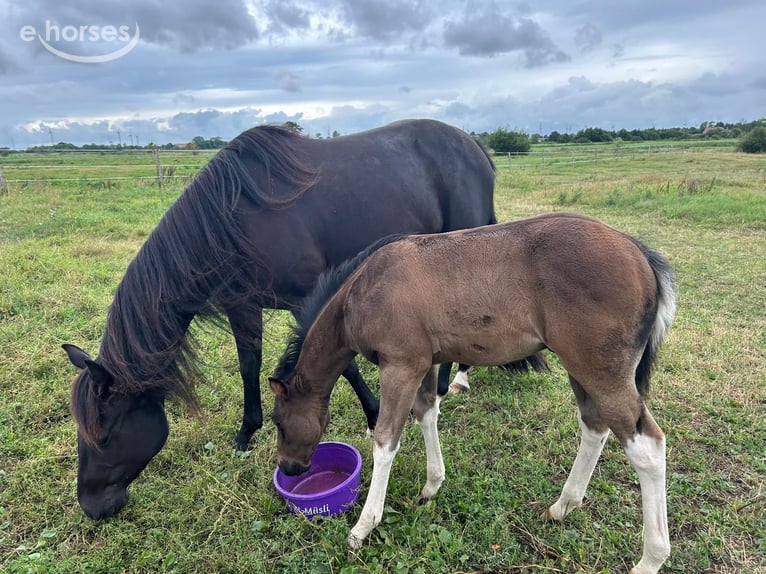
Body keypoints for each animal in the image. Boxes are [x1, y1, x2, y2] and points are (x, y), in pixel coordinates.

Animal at [62, 118, 499, 520]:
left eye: (106, 435)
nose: (91, 506)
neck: (231, 222)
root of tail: (474, 145)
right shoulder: (242, 305)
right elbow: (248, 364)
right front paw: (246, 433)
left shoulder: (307, 298)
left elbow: (343, 366)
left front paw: (374, 414)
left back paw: (452, 381)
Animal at [269, 213, 676, 574]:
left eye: (279, 422)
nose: (289, 467)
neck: (362, 291)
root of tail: (641, 254)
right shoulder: (425, 362)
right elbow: (427, 413)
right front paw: (432, 485)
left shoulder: (400, 365)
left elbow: (385, 441)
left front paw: (363, 527)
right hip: (581, 368)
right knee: (595, 426)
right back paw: (562, 506)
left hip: (601, 371)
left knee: (647, 446)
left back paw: (650, 559)